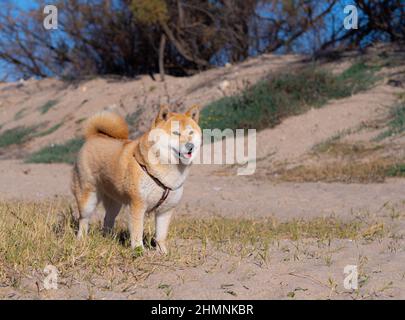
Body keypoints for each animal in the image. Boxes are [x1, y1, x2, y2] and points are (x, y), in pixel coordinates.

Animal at [72, 106, 201, 254]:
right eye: (175, 133)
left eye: (191, 132)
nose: (190, 146)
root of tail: (94, 136)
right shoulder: (138, 205)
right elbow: (137, 231)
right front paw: (139, 250)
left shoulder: (165, 210)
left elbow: (161, 235)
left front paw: (163, 252)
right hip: (88, 196)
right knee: (83, 219)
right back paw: (81, 239)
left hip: (115, 202)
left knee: (108, 219)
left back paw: (108, 239)